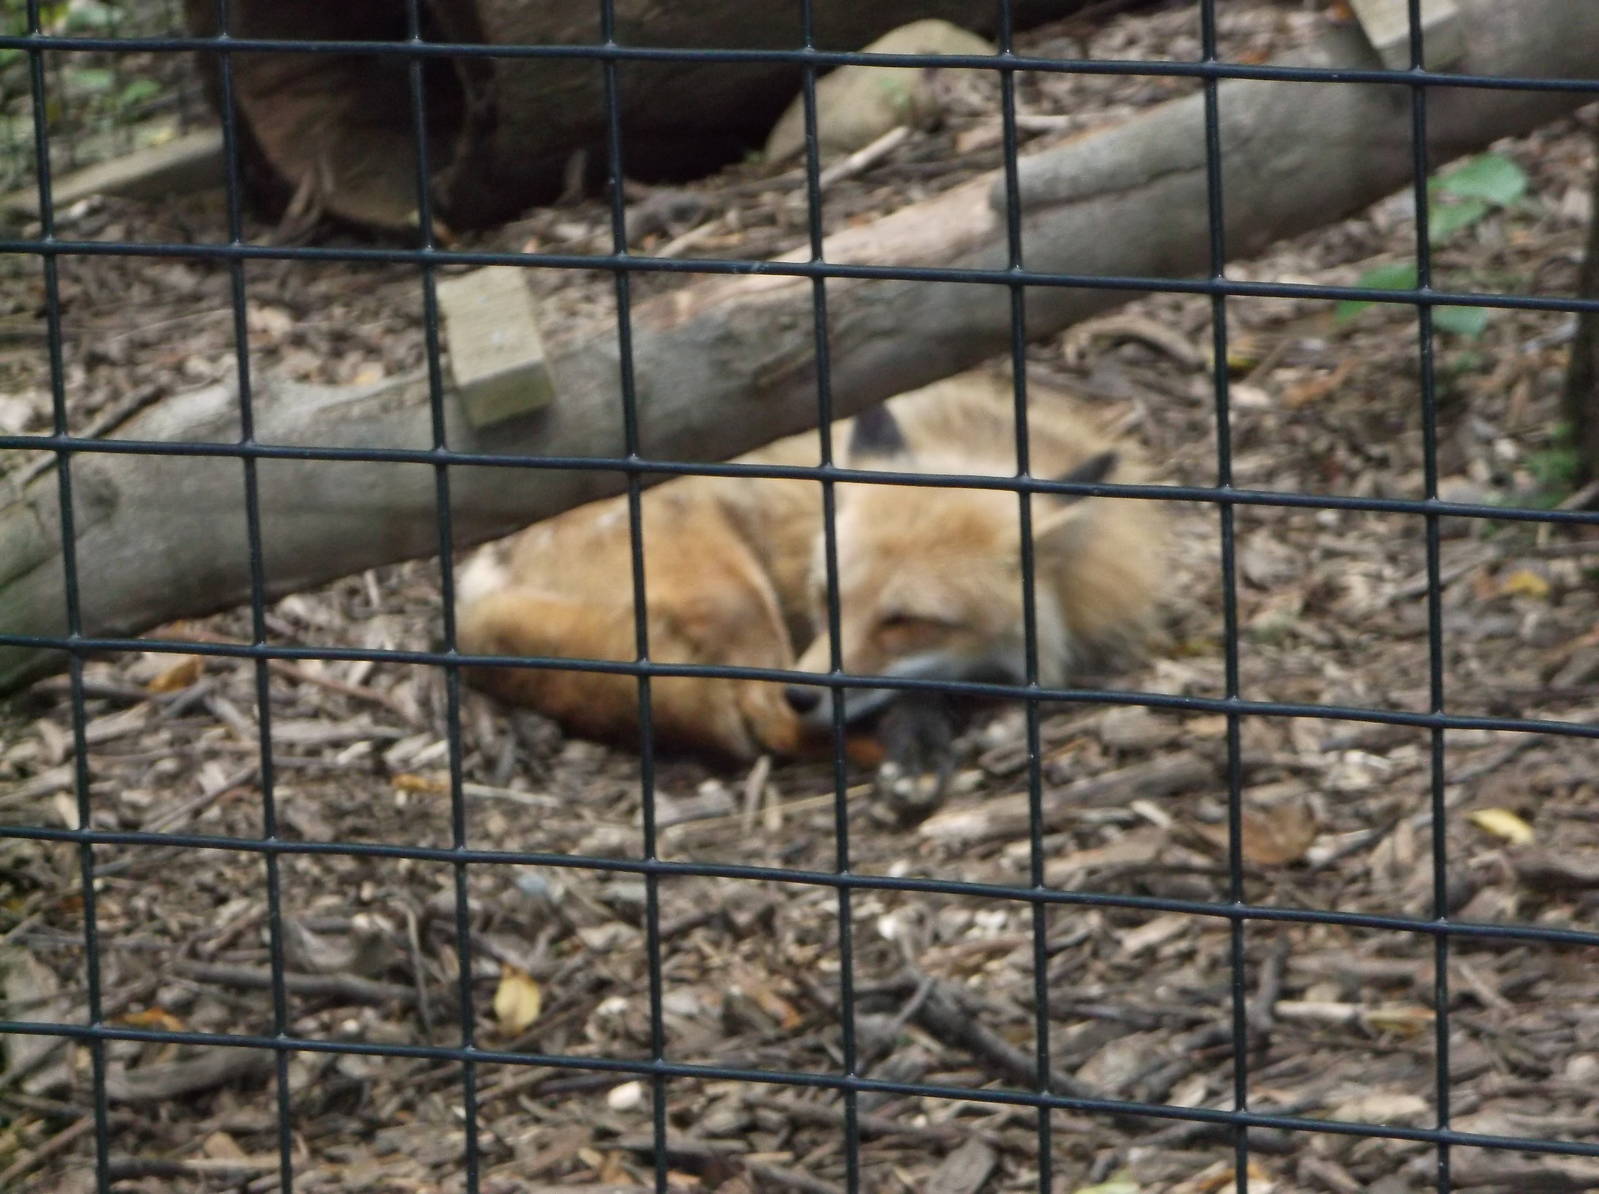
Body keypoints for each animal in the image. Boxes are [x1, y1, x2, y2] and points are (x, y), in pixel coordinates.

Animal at [455, 367, 1165, 770]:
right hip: (734, 594)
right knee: (762, 725)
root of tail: (474, 585)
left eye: (905, 620)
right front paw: (914, 735)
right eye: (828, 597)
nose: (803, 692)